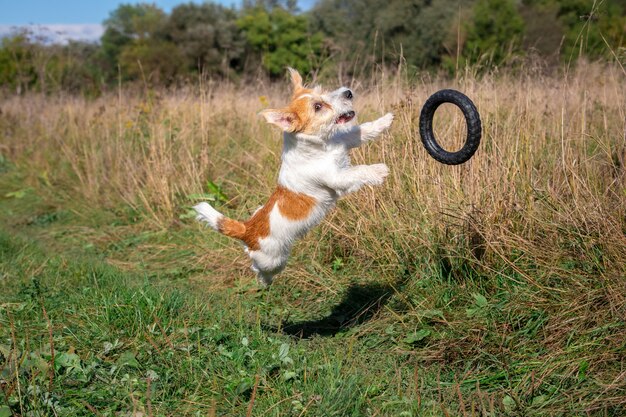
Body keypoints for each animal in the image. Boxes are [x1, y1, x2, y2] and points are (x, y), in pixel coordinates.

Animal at [193, 68, 392, 284]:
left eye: (322, 92)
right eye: (318, 107)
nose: (348, 92)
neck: (321, 146)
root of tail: (248, 229)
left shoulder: (345, 140)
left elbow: (362, 130)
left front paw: (385, 120)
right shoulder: (337, 176)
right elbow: (359, 171)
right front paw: (378, 170)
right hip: (273, 260)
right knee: (258, 267)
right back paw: (264, 281)